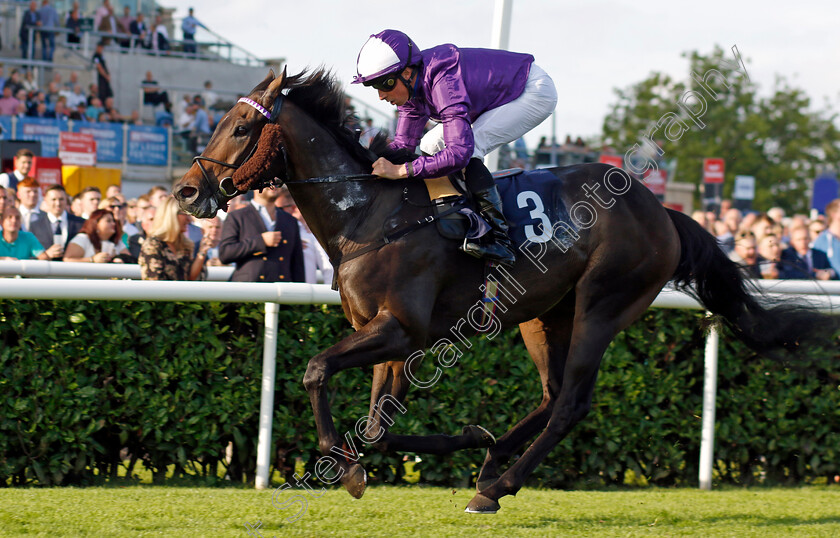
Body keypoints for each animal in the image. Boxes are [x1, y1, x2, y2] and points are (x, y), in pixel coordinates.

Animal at [172, 68, 832, 510]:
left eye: (240, 126)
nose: (185, 192)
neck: (369, 216)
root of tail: (664, 211)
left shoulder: (400, 330)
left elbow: (315, 371)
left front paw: (346, 465)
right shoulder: (385, 336)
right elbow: (379, 426)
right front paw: (460, 438)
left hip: (603, 304)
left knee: (571, 403)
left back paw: (497, 487)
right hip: (543, 315)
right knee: (550, 393)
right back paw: (491, 461)